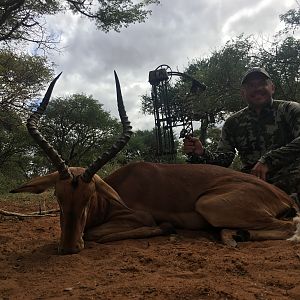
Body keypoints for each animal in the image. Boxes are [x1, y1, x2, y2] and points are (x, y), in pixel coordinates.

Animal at [10, 72, 300, 253]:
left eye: (89, 196)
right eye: (57, 197)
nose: (69, 248)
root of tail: (281, 194)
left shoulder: (136, 216)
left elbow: (95, 233)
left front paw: (165, 227)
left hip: (208, 204)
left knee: (290, 226)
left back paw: (236, 236)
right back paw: (234, 235)